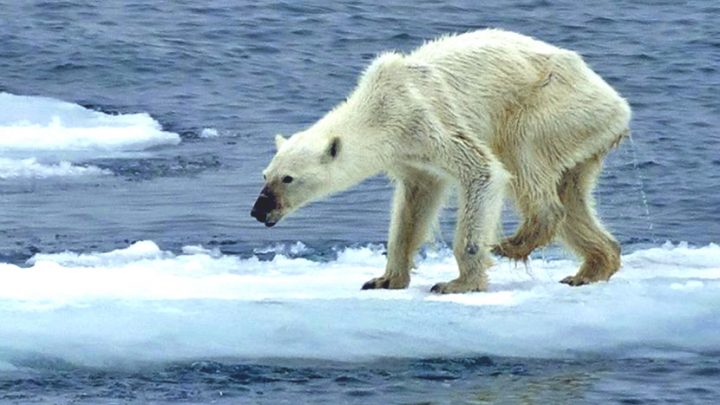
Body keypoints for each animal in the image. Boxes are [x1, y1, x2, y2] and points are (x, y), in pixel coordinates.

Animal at [251, 29, 630, 293]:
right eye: (265, 175)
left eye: (288, 178)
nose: (258, 211)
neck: (379, 107)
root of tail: (618, 104)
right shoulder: (409, 155)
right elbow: (414, 205)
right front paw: (385, 279)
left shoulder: (425, 119)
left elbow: (482, 171)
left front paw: (458, 283)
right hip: (582, 135)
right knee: (572, 195)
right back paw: (591, 268)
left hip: (553, 106)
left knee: (522, 154)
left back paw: (515, 242)